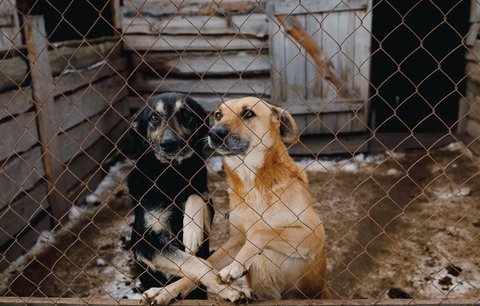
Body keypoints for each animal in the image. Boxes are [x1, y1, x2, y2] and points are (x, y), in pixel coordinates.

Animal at [129, 92, 214, 298]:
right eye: (154, 117)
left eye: (186, 115)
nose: (168, 144)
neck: (171, 175)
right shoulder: (146, 244)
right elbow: (193, 263)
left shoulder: (208, 206)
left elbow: (195, 196)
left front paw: (192, 234)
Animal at [142, 97, 328, 304]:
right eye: (218, 115)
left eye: (248, 113)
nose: (214, 133)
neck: (252, 184)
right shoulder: (236, 240)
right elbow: (201, 266)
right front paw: (165, 291)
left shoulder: (313, 233)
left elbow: (260, 232)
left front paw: (234, 267)